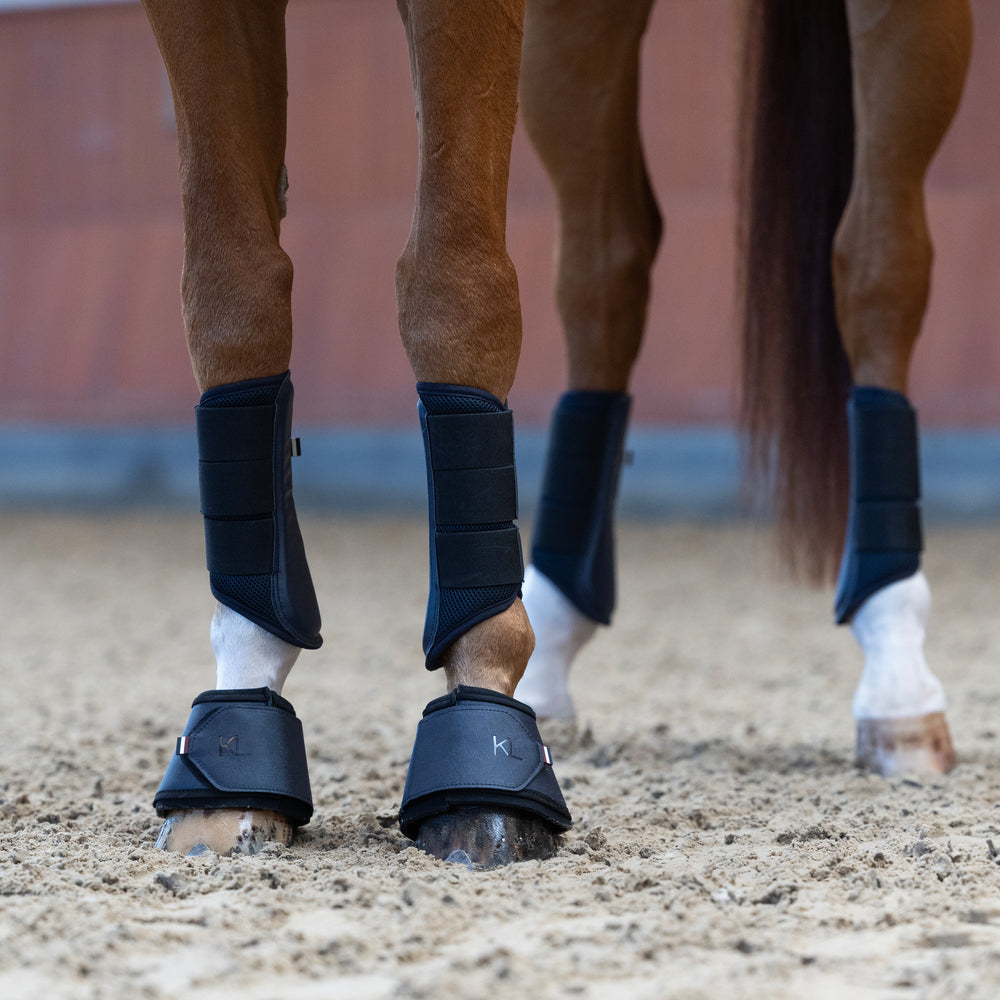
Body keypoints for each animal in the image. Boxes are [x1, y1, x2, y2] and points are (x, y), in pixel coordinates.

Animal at [141, 0, 973, 866]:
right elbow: (230, 288)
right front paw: (237, 727)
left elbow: (455, 283)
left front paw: (484, 724)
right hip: (577, 33)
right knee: (604, 264)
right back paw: (556, 637)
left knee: (879, 258)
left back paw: (896, 674)